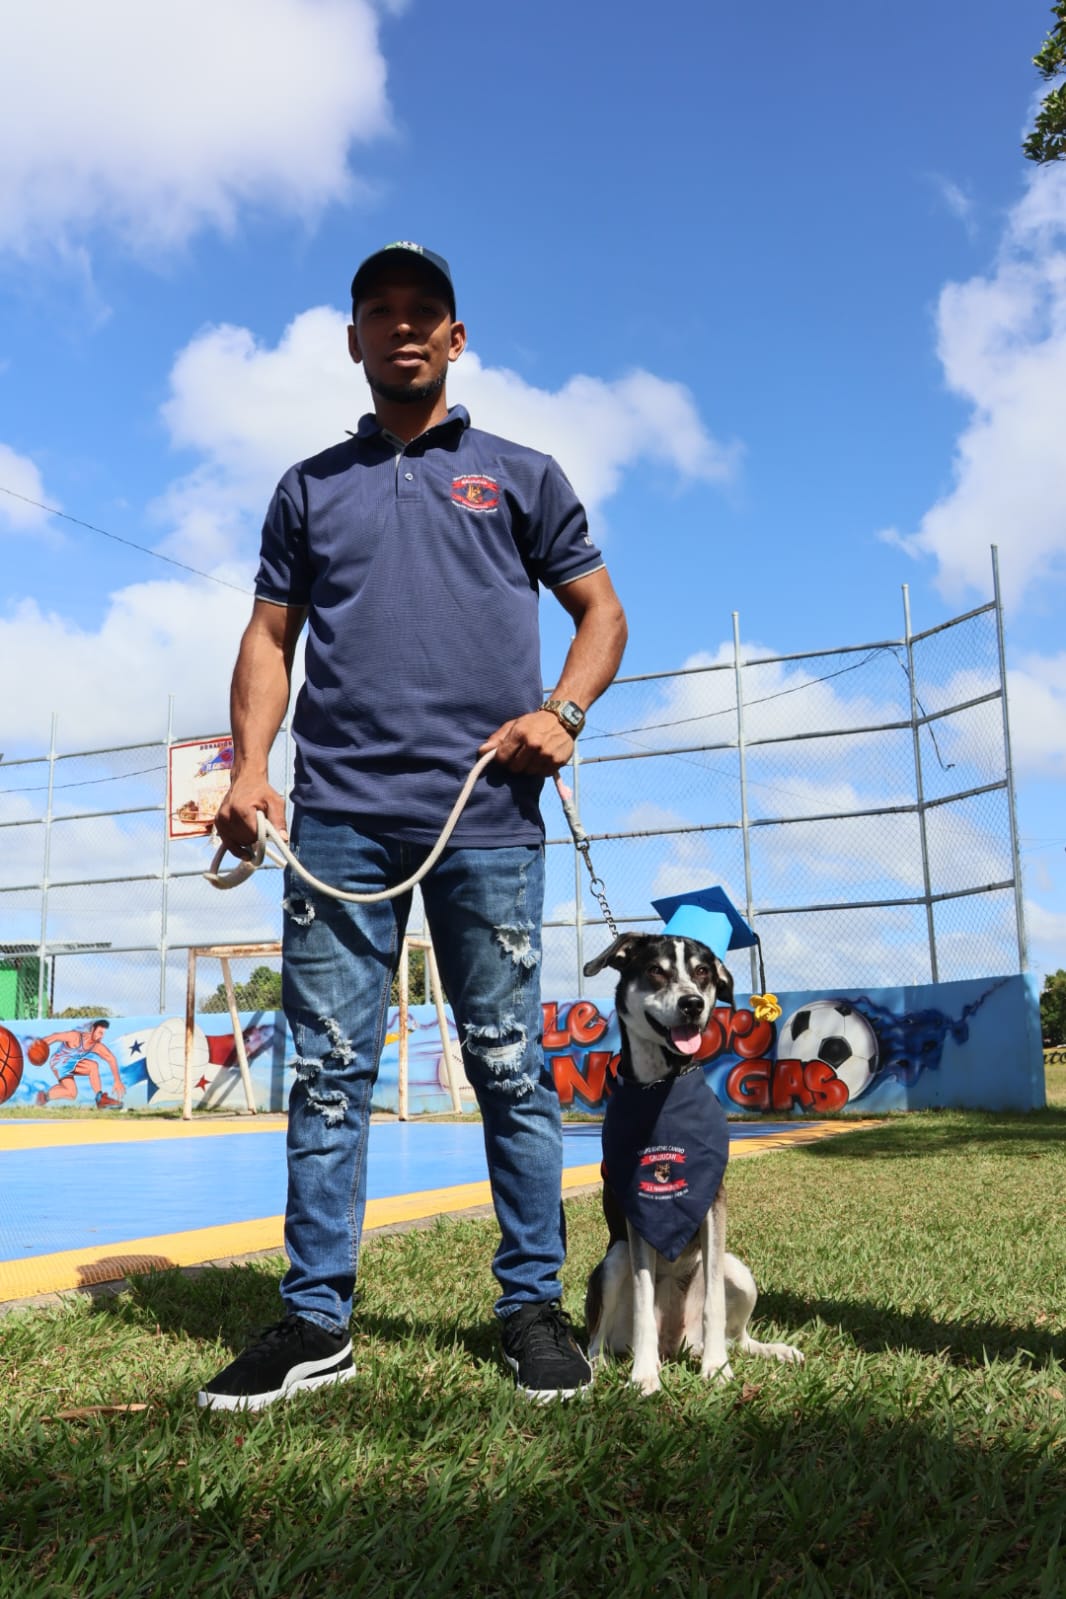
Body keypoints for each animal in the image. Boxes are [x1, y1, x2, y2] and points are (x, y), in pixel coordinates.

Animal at [583, 931, 803, 1395]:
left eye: (703, 972)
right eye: (655, 970)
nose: (692, 1004)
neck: (662, 1086)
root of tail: (678, 1344)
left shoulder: (712, 1205)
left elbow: (715, 1305)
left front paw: (716, 1369)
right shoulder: (639, 1217)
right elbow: (643, 1301)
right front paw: (643, 1375)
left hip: (740, 1271)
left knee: (738, 1336)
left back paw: (766, 1350)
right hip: (613, 1260)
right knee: (596, 1340)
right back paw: (604, 1367)